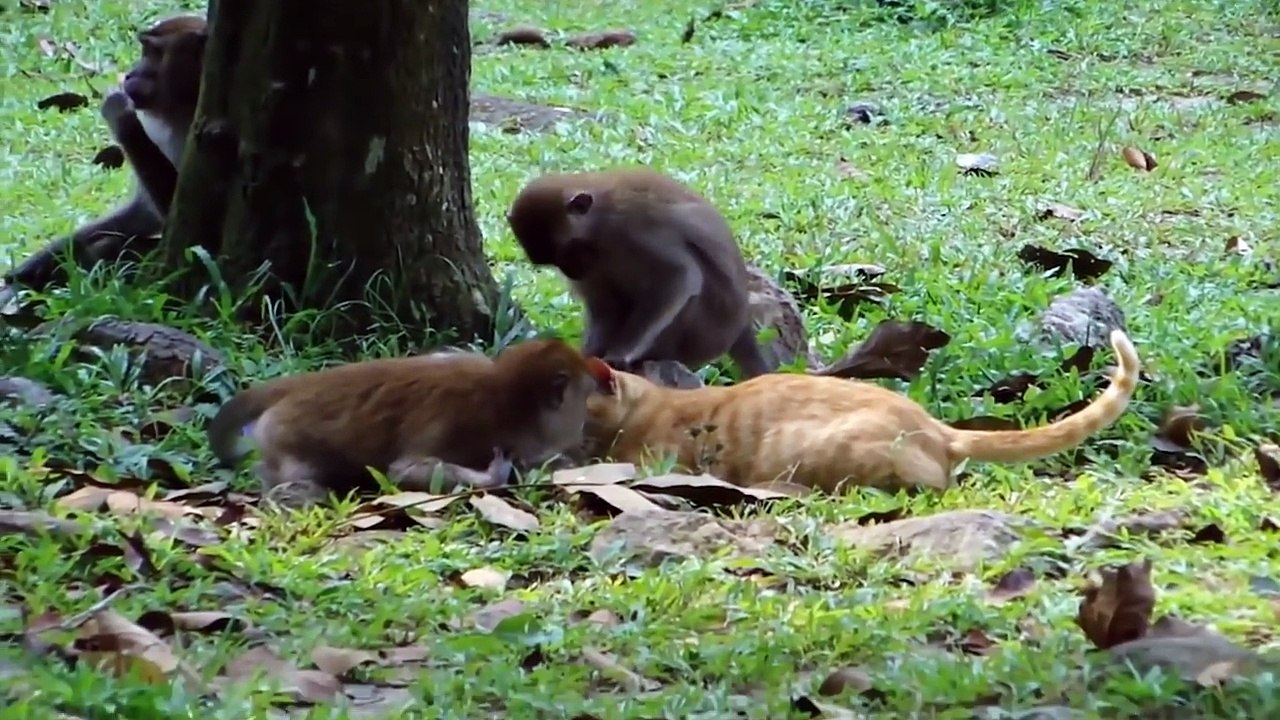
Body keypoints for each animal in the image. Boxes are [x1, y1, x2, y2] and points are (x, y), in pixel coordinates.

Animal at [1, 15, 207, 295]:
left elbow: (185, 227)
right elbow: (142, 214)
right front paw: (40, 261)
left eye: (154, 53)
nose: (130, 74)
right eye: (144, 50)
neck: (184, 107)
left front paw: (120, 112)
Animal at [205, 339, 614, 508]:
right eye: (584, 400)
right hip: (283, 433)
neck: (508, 396)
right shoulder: (470, 422)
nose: (581, 428)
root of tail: (299, 384)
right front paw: (494, 477)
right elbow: (404, 470)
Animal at [506, 167, 775, 380]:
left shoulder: (632, 227)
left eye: (570, 248)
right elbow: (605, 308)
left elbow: (680, 275)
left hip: (704, 332)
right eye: (556, 262)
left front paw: (620, 353)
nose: (571, 271)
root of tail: (740, 324)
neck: (599, 223)